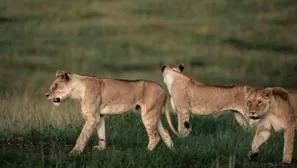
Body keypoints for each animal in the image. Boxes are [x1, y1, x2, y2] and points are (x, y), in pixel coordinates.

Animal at [45, 70, 177, 154]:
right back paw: (172, 150)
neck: (78, 90)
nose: (46, 95)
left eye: (55, 86)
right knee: (164, 132)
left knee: (155, 137)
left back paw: (146, 152)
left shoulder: (92, 117)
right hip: (153, 114)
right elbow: (101, 134)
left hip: (148, 114)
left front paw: (74, 152)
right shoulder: (99, 116)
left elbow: (82, 136)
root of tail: (163, 89)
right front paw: (101, 149)